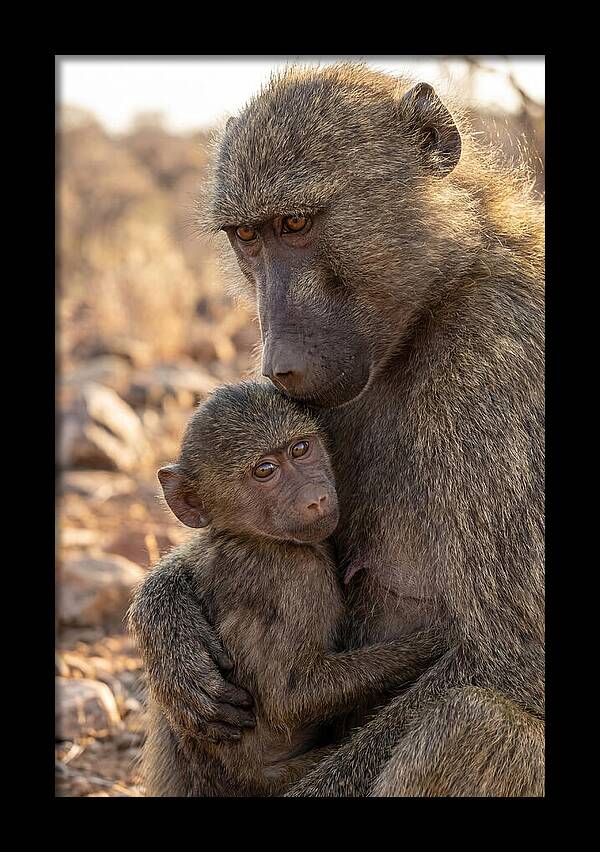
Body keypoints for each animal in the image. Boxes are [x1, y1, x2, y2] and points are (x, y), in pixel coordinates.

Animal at [129, 381, 442, 797]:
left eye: (300, 449)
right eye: (265, 471)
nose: (316, 498)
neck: (250, 537)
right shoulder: (295, 577)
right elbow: (290, 698)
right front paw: (438, 641)